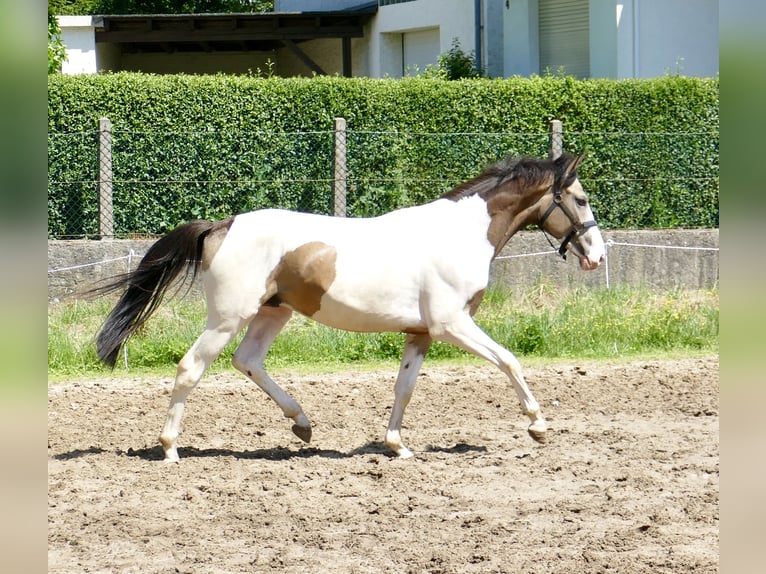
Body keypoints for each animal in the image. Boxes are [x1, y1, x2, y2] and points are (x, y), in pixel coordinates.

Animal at [94, 152, 605, 462]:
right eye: (580, 199)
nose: (597, 257)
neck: (462, 235)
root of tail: (224, 224)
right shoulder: (451, 325)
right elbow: (510, 361)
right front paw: (538, 426)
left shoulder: (421, 334)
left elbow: (404, 388)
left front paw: (396, 446)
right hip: (227, 317)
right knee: (190, 367)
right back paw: (170, 448)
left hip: (273, 312)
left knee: (248, 361)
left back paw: (302, 424)